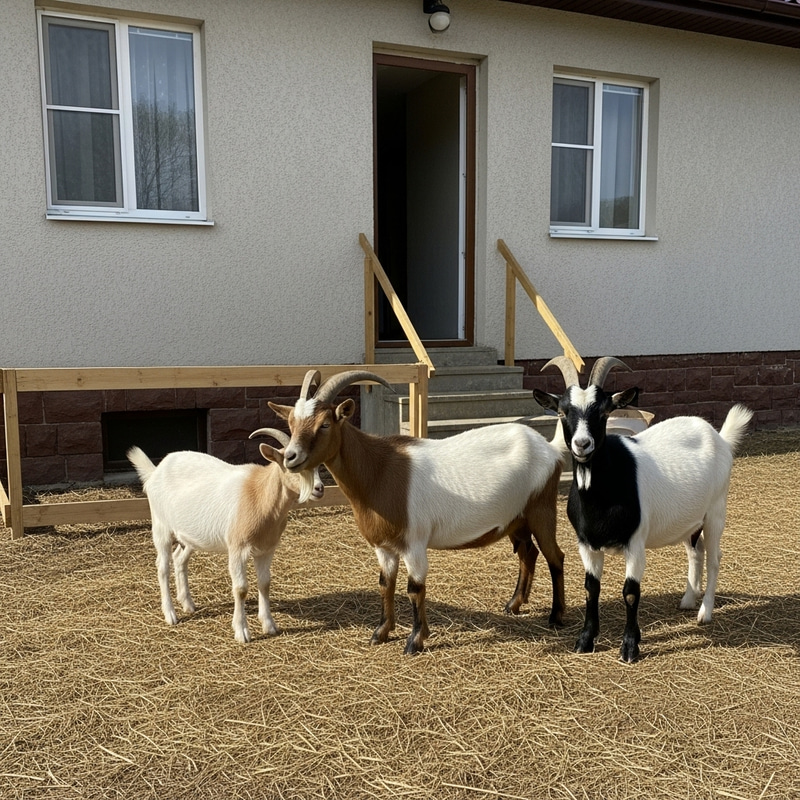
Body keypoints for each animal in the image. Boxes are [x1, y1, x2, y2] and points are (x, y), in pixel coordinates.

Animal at [128, 430, 324, 643]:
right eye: (291, 463)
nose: (319, 488)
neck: (259, 495)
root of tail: (156, 471)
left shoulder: (266, 549)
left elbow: (265, 583)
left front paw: (269, 625)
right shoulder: (237, 549)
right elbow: (241, 589)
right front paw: (242, 631)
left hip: (188, 536)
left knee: (179, 559)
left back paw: (188, 604)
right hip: (161, 526)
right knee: (162, 567)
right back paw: (171, 614)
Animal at [268, 369, 566, 655]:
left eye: (325, 424)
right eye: (291, 423)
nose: (290, 457)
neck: (379, 471)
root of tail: (550, 448)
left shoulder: (414, 544)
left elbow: (414, 589)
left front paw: (415, 641)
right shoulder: (384, 546)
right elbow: (385, 583)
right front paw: (380, 633)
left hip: (541, 509)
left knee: (555, 556)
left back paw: (556, 617)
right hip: (516, 519)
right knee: (528, 553)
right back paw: (514, 604)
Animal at [533, 356, 753, 663]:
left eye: (604, 412)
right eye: (563, 412)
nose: (582, 444)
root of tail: (719, 436)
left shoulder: (635, 543)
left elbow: (630, 592)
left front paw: (629, 647)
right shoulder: (586, 544)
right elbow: (591, 589)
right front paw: (585, 640)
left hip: (716, 511)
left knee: (714, 558)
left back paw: (704, 613)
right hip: (690, 521)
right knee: (695, 552)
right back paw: (687, 600)